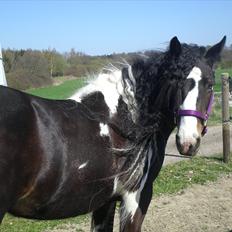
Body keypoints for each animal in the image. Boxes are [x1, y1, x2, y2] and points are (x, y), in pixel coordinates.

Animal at [0, 36, 226, 230]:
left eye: (209, 84)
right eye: (174, 81)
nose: (188, 142)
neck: (125, 120)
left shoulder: (104, 201)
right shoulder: (134, 200)